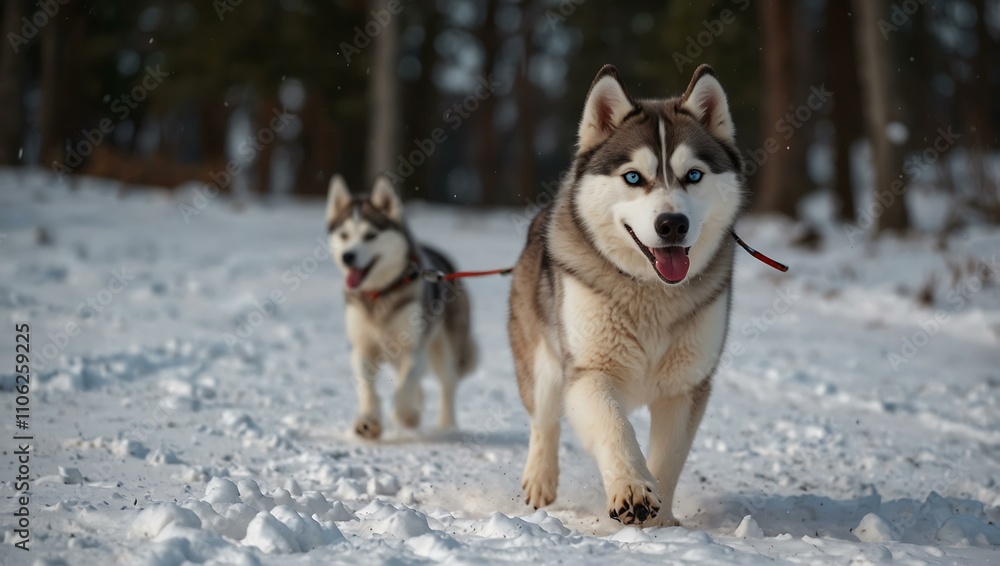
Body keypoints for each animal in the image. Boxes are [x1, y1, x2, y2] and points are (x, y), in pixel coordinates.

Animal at [322, 176, 474, 440]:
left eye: (370, 235)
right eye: (344, 235)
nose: (347, 257)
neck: (380, 294)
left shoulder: (414, 345)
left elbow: (406, 384)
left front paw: (405, 414)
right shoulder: (362, 345)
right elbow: (367, 385)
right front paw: (368, 420)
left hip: (444, 346)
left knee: (447, 384)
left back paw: (446, 425)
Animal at [508, 65, 744, 528]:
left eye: (693, 175)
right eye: (634, 177)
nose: (673, 224)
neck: (650, 292)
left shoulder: (686, 386)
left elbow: (668, 458)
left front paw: (660, 521)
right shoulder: (589, 371)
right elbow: (615, 428)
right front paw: (631, 488)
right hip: (542, 361)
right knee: (544, 420)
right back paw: (540, 479)